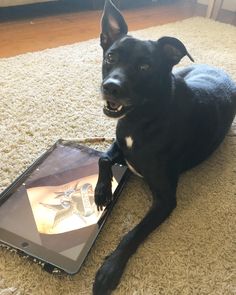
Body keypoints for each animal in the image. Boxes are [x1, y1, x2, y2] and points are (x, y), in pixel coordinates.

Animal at [92, 1, 236, 294]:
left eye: (145, 66)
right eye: (111, 57)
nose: (110, 87)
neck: (142, 118)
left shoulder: (165, 200)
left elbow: (132, 234)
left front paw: (110, 269)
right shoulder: (120, 142)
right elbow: (103, 157)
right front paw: (102, 191)